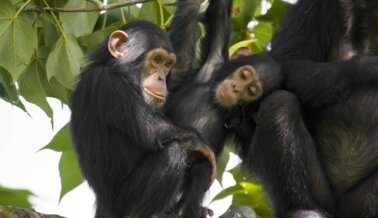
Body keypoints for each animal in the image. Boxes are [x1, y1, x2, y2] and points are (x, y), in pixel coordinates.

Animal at [69, 20, 216, 218]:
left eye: (167, 64)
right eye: (157, 60)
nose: (161, 78)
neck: (120, 72)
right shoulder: (107, 83)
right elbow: (152, 131)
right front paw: (202, 145)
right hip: (121, 203)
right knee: (173, 151)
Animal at [164, 0, 282, 216]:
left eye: (250, 90)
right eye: (244, 76)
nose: (236, 88)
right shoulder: (214, 59)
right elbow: (215, 13)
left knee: (202, 170)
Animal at [239, 0, 378, 217]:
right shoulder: (318, 6)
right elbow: (286, 63)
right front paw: (366, 67)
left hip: (363, 202)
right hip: (323, 193)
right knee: (280, 103)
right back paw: (302, 208)